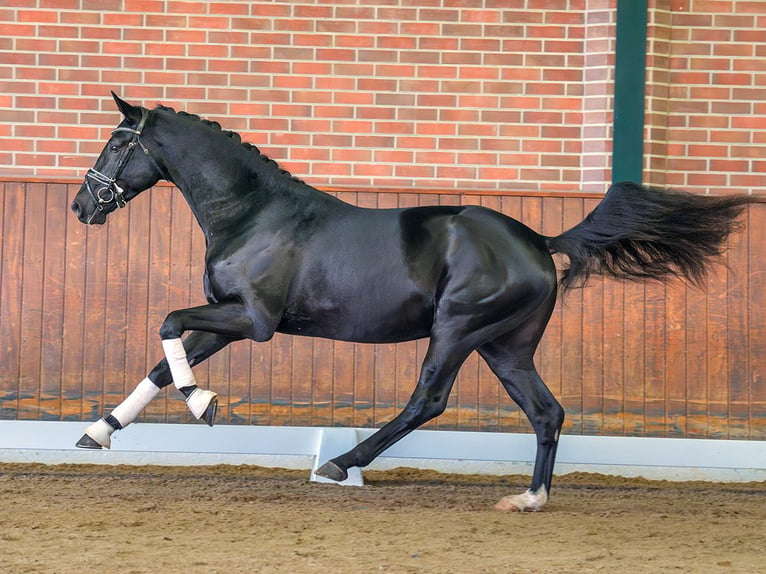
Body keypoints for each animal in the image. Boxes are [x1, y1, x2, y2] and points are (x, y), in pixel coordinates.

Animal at [72, 93, 756, 512]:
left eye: (117, 144)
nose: (82, 206)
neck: (254, 215)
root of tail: (539, 241)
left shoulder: (255, 321)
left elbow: (167, 326)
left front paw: (204, 403)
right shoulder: (227, 318)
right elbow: (164, 361)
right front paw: (97, 433)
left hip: (457, 330)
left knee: (428, 400)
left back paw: (339, 464)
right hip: (505, 346)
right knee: (546, 412)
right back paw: (529, 498)